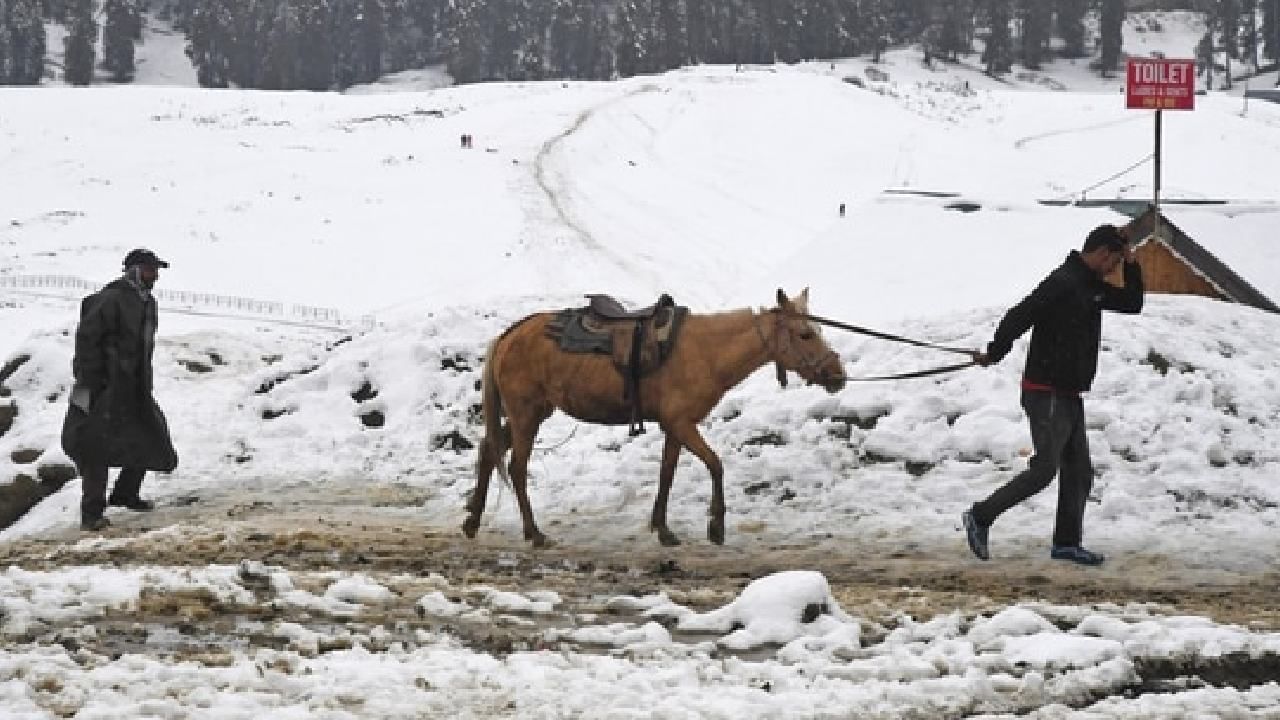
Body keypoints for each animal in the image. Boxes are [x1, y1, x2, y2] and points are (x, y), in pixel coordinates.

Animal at [465, 285, 844, 543]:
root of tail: (508, 335)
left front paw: (662, 527)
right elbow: (715, 464)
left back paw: (472, 521)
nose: (837, 375)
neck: (707, 352)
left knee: (489, 449)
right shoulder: (682, 424)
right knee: (516, 466)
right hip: (525, 415)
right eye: (805, 333)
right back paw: (533, 532)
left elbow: (667, 473)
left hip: (533, 413)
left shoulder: (675, 427)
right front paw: (716, 525)